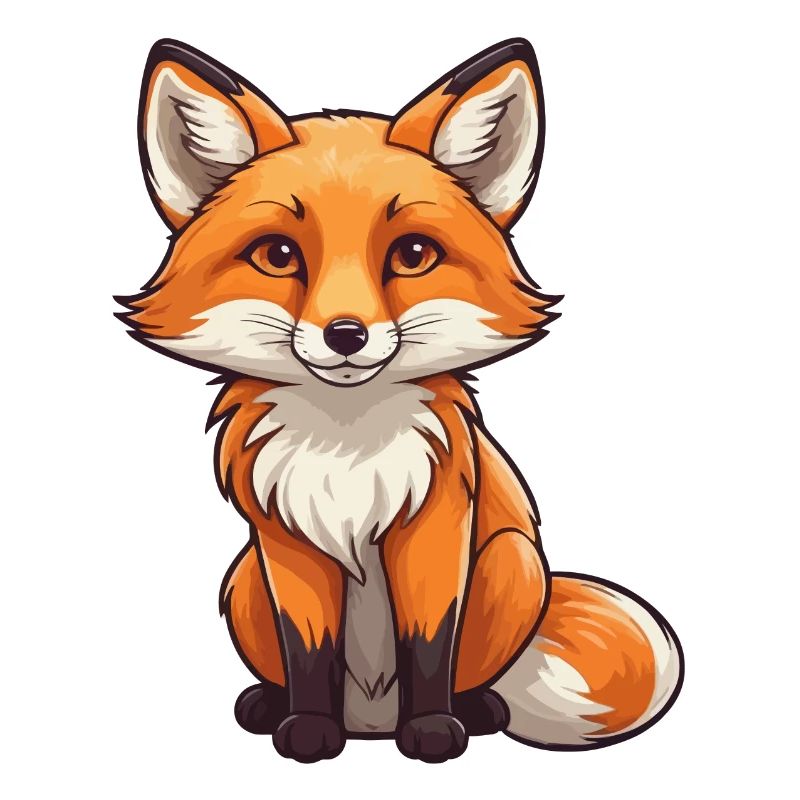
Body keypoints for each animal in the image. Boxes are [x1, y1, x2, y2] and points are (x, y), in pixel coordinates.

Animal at [117, 37, 684, 763]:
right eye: (278, 256)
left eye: (412, 254)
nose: (346, 335)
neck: (345, 448)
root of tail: (370, 719)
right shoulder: (285, 542)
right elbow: (309, 651)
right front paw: (308, 728)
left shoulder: (436, 529)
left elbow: (429, 645)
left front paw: (434, 729)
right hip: (242, 579)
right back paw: (271, 704)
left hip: (513, 561)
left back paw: (477, 710)